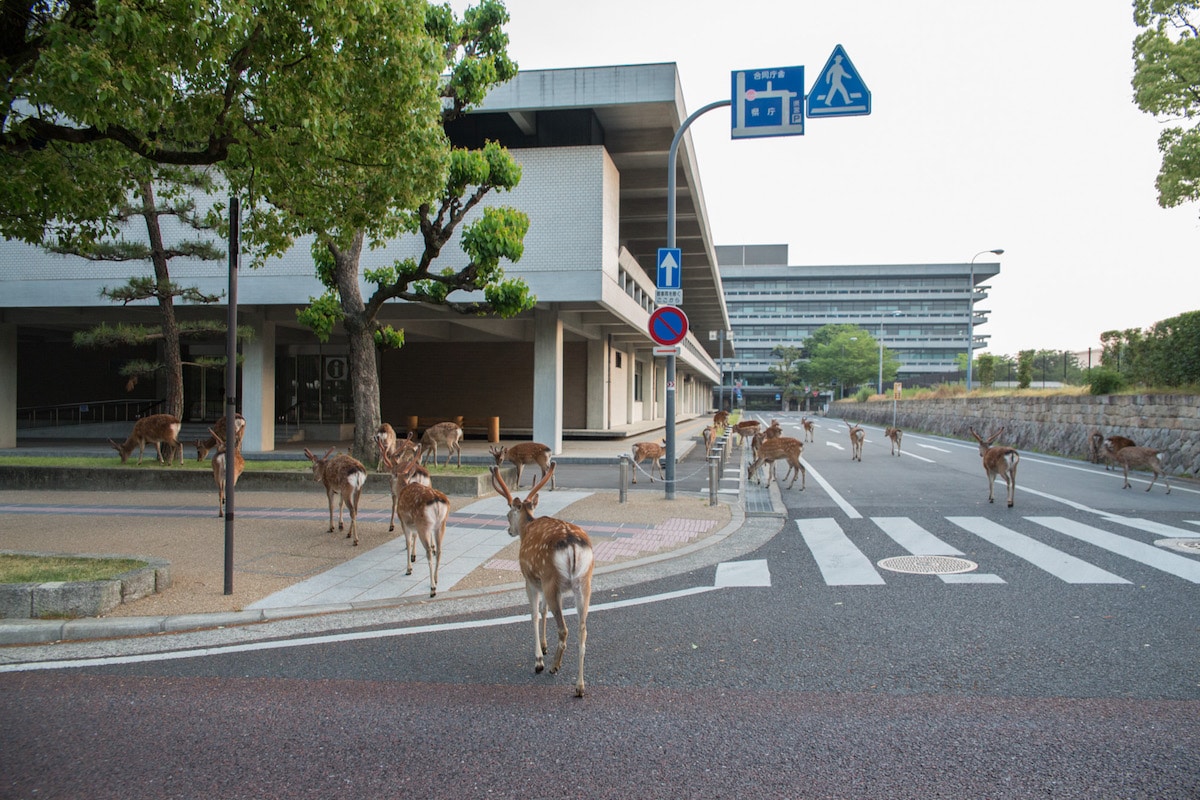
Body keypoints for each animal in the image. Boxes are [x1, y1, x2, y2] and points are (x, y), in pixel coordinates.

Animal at [489, 462, 597, 700]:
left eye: (507, 513)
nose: (509, 530)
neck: (527, 526)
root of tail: (573, 545)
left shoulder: (530, 579)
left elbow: (534, 614)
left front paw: (539, 659)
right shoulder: (544, 582)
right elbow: (543, 610)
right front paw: (545, 647)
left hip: (551, 579)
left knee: (564, 629)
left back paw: (554, 667)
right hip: (583, 583)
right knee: (583, 629)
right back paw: (580, 685)